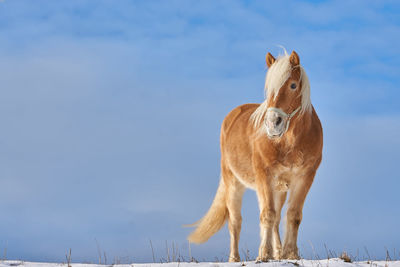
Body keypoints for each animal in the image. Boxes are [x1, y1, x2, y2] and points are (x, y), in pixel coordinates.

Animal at [187, 49, 322, 262]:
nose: (273, 123)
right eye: (268, 89)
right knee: (236, 221)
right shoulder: (264, 175)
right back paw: (234, 258)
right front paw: (263, 255)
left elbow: (293, 215)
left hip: (279, 188)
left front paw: (290, 254)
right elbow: (267, 215)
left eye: (293, 85)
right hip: (234, 183)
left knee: (276, 218)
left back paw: (278, 252)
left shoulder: (305, 177)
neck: (289, 141)